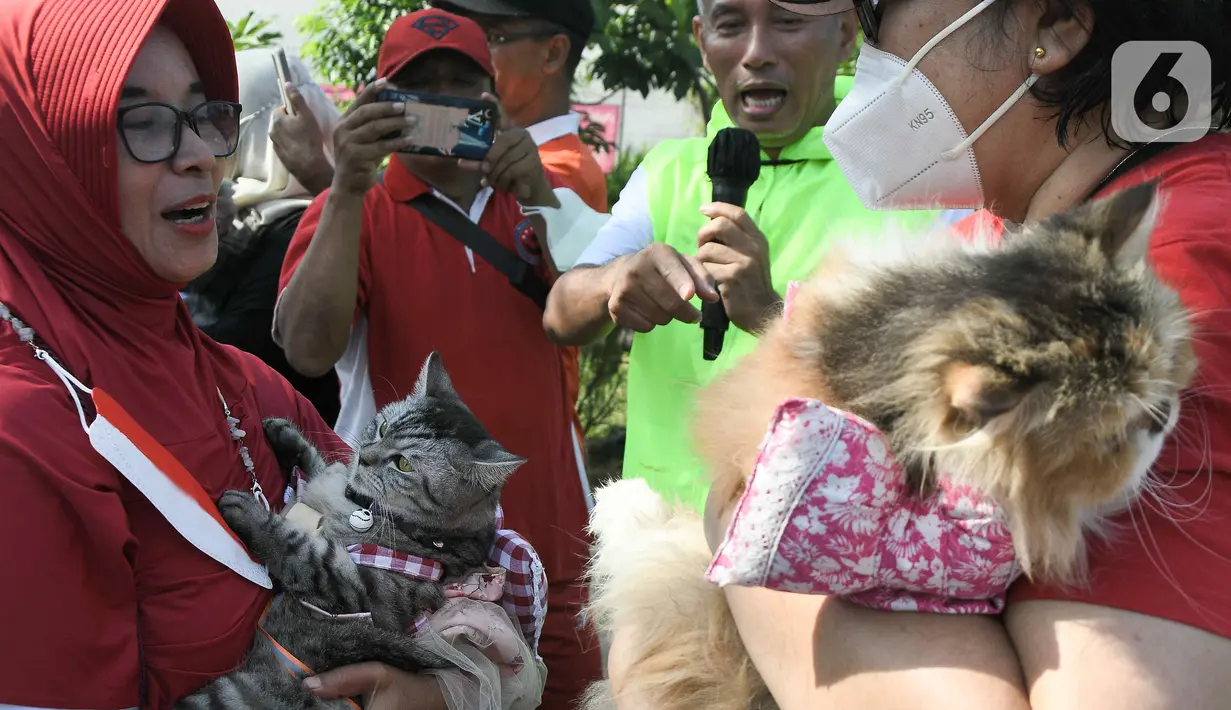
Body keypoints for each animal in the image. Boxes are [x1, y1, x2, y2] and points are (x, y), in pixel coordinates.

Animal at [179, 351, 526, 703]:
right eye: (383, 427)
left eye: (403, 463)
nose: (365, 455)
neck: (360, 505)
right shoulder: (323, 484)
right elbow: (321, 464)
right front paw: (286, 435)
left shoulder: (355, 588)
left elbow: (295, 548)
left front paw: (247, 511)